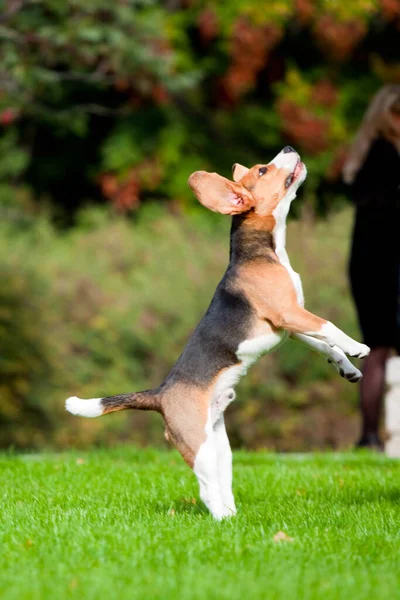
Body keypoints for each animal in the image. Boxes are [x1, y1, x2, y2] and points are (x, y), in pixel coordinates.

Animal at [65, 148, 368, 516]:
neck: (265, 250)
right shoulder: (290, 314)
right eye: (263, 170)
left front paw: (347, 367)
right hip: (198, 445)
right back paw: (222, 518)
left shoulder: (291, 327)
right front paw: (357, 347)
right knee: (207, 488)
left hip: (220, 447)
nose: (288, 150)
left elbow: (325, 346)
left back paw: (233, 515)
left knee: (221, 483)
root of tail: (160, 394)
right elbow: (329, 327)